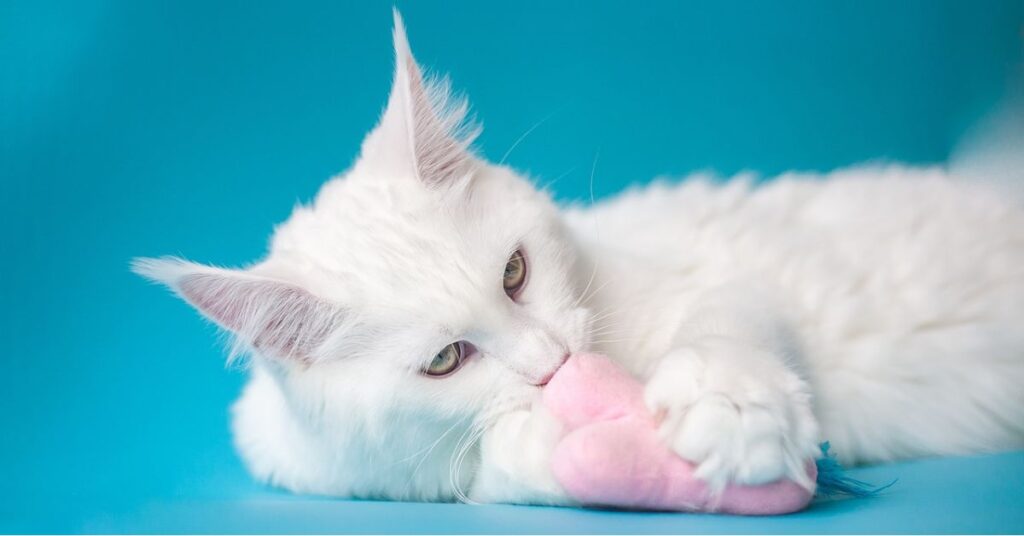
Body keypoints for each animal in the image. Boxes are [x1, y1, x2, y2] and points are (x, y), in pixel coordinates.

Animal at [132, 12, 1024, 508]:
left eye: (515, 274)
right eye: (446, 360)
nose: (555, 362)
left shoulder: (718, 286)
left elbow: (723, 337)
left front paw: (731, 412)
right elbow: (500, 467)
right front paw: (576, 450)